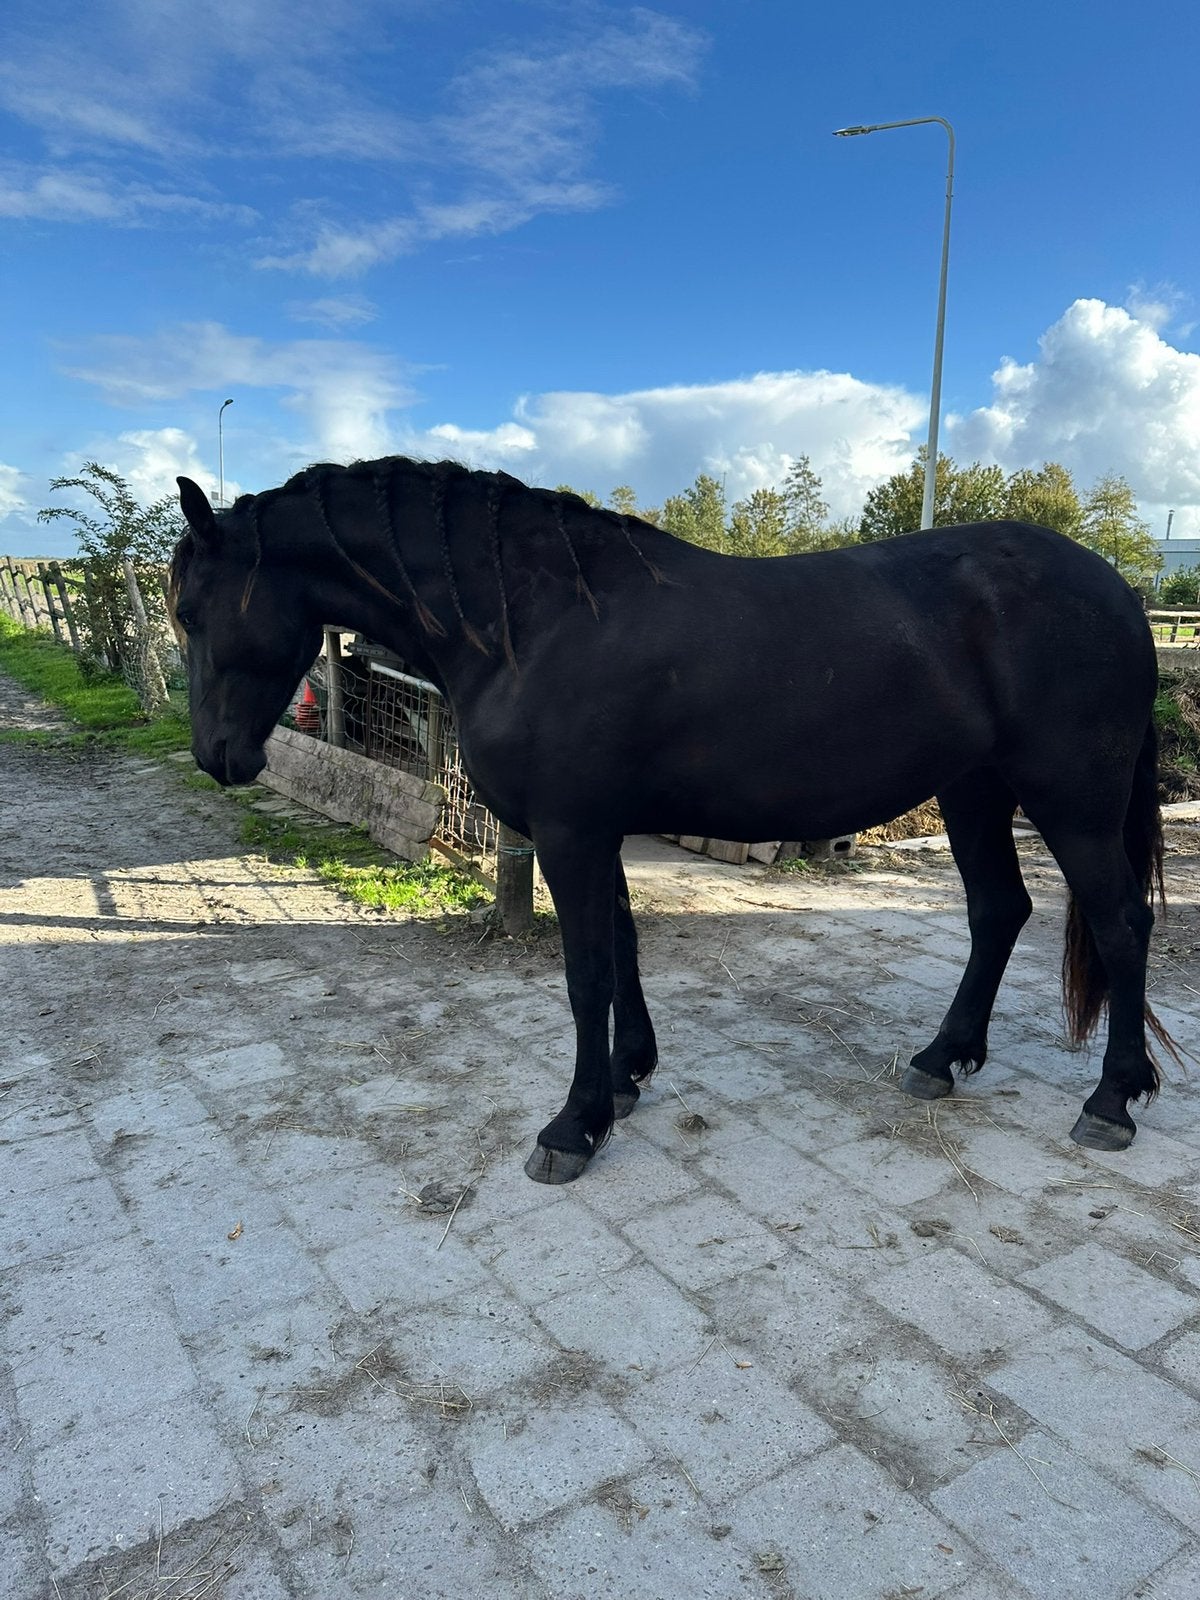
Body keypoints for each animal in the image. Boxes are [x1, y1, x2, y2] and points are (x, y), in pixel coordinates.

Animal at [171, 456, 1178, 1184]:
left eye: (190, 608)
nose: (218, 756)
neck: (533, 620)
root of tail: (1121, 594)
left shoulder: (570, 832)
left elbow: (585, 977)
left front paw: (573, 1127)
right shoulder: (596, 830)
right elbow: (621, 951)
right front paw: (625, 1080)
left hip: (1072, 802)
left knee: (1121, 924)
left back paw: (1111, 1102)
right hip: (974, 792)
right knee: (999, 912)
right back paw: (943, 1057)